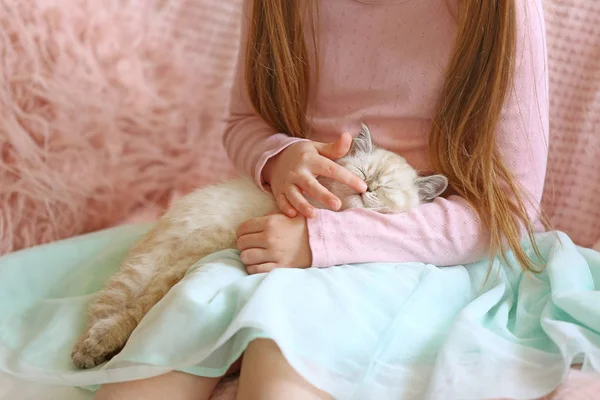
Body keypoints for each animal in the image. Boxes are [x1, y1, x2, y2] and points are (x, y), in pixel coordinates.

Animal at [70, 124, 448, 368]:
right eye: (360, 172)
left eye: (385, 187)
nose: (365, 187)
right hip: (176, 260)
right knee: (131, 306)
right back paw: (93, 348)